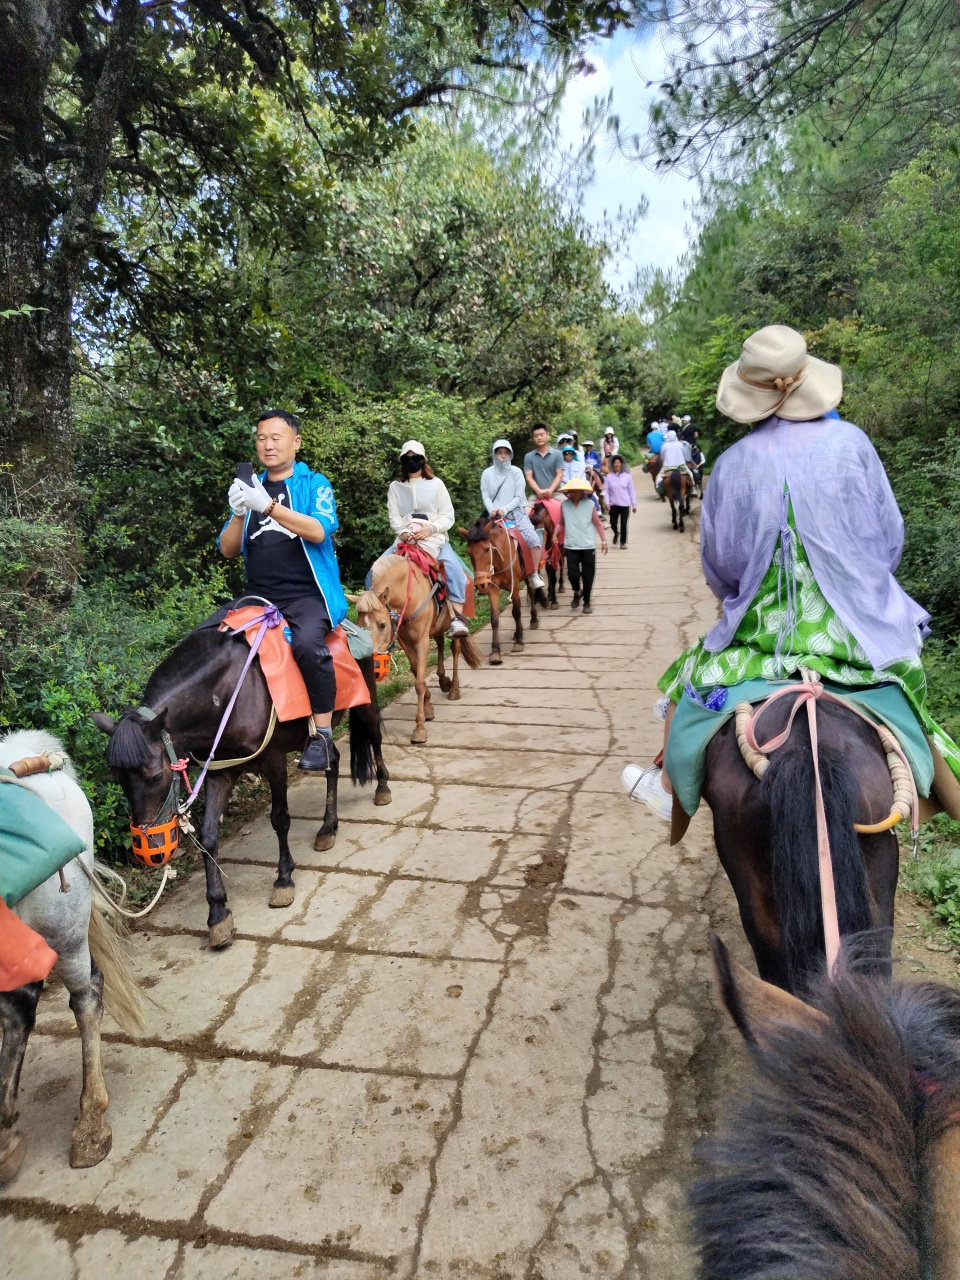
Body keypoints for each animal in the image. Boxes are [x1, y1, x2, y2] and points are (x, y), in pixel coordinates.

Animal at [92, 619, 389, 952]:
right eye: (117, 779)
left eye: (156, 776)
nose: (150, 851)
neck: (227, 695)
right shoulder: (219, 771)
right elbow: (208, 837)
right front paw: (217, 911)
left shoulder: (274, 760)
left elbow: (280, 819)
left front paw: (283, 879)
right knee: (332, 759)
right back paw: (328, 827)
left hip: (365, 701)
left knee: (374, 735)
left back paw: (382, 788)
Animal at [350, 552, 481, 747]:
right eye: (358, 627)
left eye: (382, 625)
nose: (373, 667)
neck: (407, 595)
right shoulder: (406, 641)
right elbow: (415, 670)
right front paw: (428, 706)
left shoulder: (421, 640)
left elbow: (419, 682)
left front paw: (419, 728)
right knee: (440, 643)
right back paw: (443, 680)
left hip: (454, 624)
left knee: (455, 650)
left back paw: (454, 689)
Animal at [458, 514, 542, 665]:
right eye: (468, 552)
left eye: (487, 549)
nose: (481, 583)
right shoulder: (492, 589)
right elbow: (494, 619)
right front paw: (495, 651)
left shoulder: (515, 587)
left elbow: (516, 612)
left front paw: (519, 642)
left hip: (529, 573)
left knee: (532, 593)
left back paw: (533, 620)